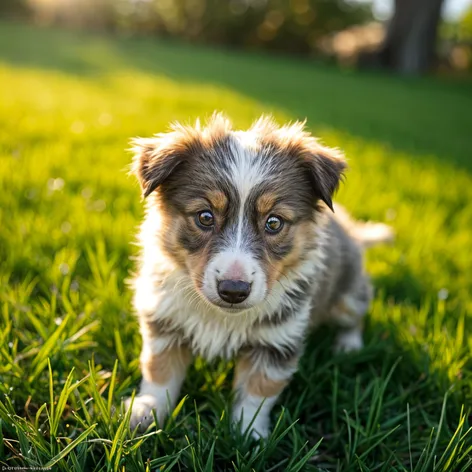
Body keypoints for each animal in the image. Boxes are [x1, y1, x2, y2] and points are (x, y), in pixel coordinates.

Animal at [123, 112, 392, 436]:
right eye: (205, 217)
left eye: (274, 223)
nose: (233, 291)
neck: (223, 317)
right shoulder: (165, 320)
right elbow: (159, 371)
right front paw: (145, 412)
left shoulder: (276, 339)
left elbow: (258, 392)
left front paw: (248, 435)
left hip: (348, 295)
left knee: (356, 315)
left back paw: (348, 346)